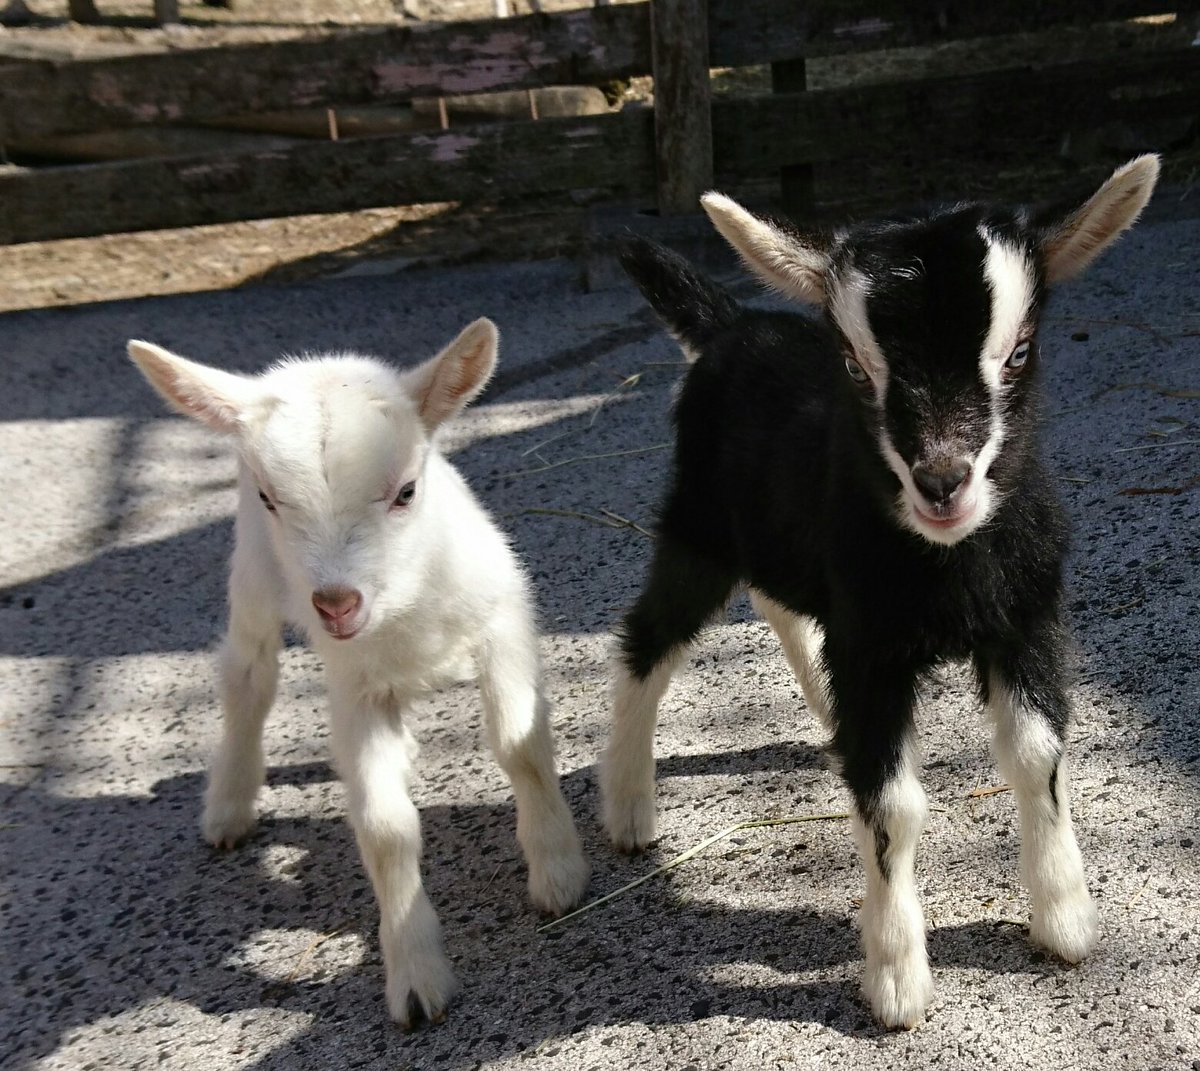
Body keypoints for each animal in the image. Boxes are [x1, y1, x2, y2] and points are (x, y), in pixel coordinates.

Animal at [129, 319, 588, 1027]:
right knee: (247, 676)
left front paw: (558, 874)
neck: (404, 610)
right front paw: (416, 980)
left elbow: (522, 749)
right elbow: (384, 827)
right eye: (269, 497)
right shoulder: (353, 687)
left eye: (406, 492)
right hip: (253, 578)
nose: (337, 603)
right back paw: (228, 808)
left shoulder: (502, 621)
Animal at [604, 154, 1156, 1022]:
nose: (942, 481)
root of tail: (729, 327)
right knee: (648, 637)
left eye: (1020, 350)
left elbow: (1038, 753)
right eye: (857, 366)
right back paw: (627, 807)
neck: (948, 562)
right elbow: (892, 801)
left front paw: (1066, 919)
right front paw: (898, 979)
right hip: (700, 527)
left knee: (776, 601)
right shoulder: (871, 646)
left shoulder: (1026, 616)